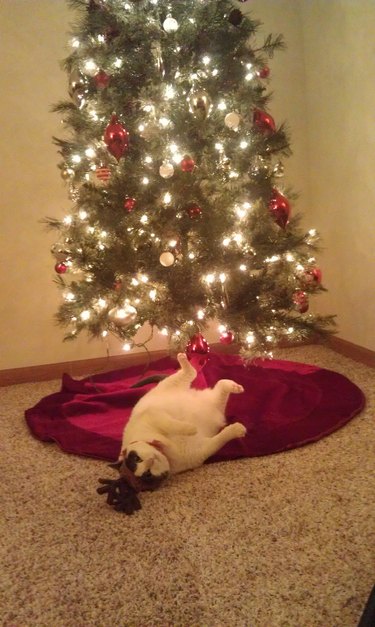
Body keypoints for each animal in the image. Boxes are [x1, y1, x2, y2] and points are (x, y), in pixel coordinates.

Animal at [118, 354, 247, 490]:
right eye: (147, 475)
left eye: (137, 458)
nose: (151, 461)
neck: (167, 448)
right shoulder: (201, 451)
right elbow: (221, 438)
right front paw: (237, 429)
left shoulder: (153, 416)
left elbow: (172, 425)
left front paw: (191, 429)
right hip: (215, 402)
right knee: (219, 385)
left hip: (171, 384)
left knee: (192, 373)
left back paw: (184, 359)